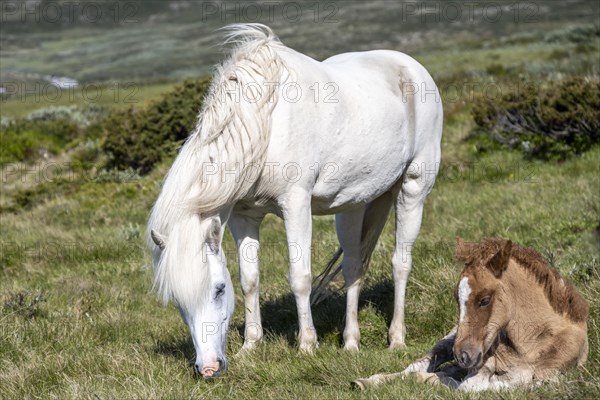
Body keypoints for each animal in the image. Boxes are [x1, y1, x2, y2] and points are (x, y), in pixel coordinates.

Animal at [148, 22, 442, 378]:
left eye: (218, 289)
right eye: (178, 301)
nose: (208, 368)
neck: (264, 122)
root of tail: (410, 66)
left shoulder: (295, 204)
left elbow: (299, 277)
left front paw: (306, 346)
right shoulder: (243, 216)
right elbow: (249, 280)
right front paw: (250, 347)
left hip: (413, 189)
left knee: (401, 263)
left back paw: (396, 338)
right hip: (355, 205)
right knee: (354, 266)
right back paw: (351, 342)